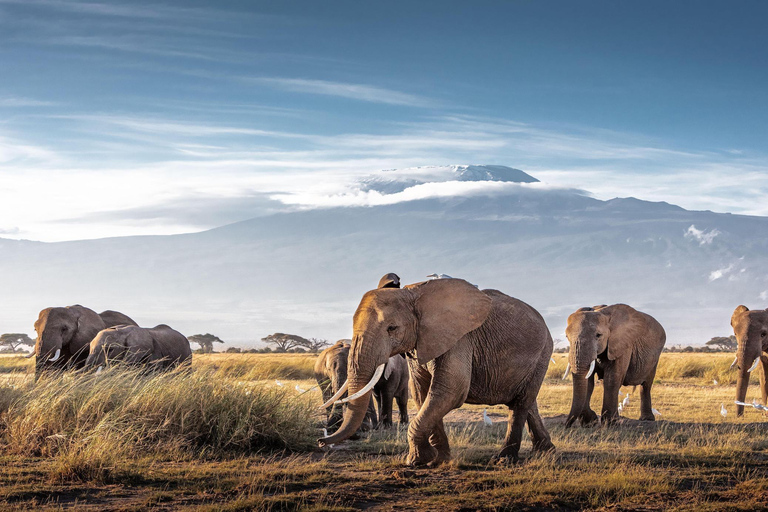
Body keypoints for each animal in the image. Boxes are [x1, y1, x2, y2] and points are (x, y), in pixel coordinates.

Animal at [316, 278, 556, 466]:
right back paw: (546, 451)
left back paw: (504, 460)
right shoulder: (420, 342)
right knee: (527, 401)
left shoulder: (460, 339)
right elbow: (423, 392)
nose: (320, 441)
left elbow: (450, 391)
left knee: (520, 404)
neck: (413, 293)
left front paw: (416, 461)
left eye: (392, 328)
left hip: (544, 351)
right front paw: (438, 459)